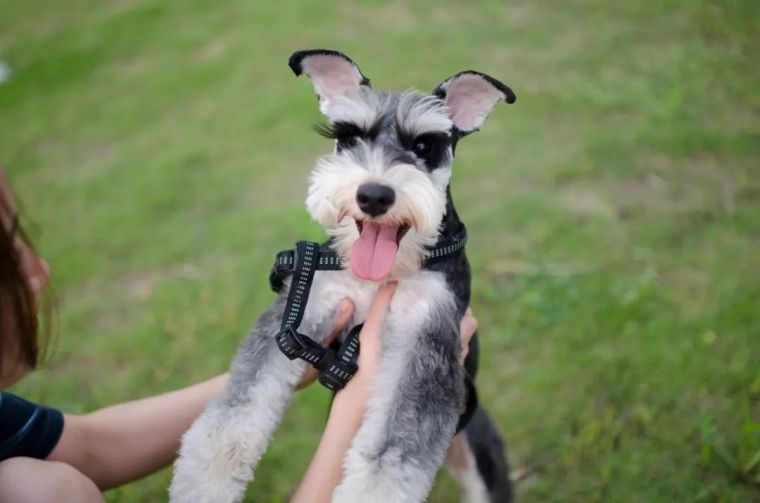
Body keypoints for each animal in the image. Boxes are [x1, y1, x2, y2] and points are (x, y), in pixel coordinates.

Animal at [171, 48, 516, 503]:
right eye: (350, 137)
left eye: (424, 145)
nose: (373, 195)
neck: (383, 274)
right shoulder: (307, 308)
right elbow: (239, 406)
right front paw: (204, 480)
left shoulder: (423, 340)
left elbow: (390, 453)